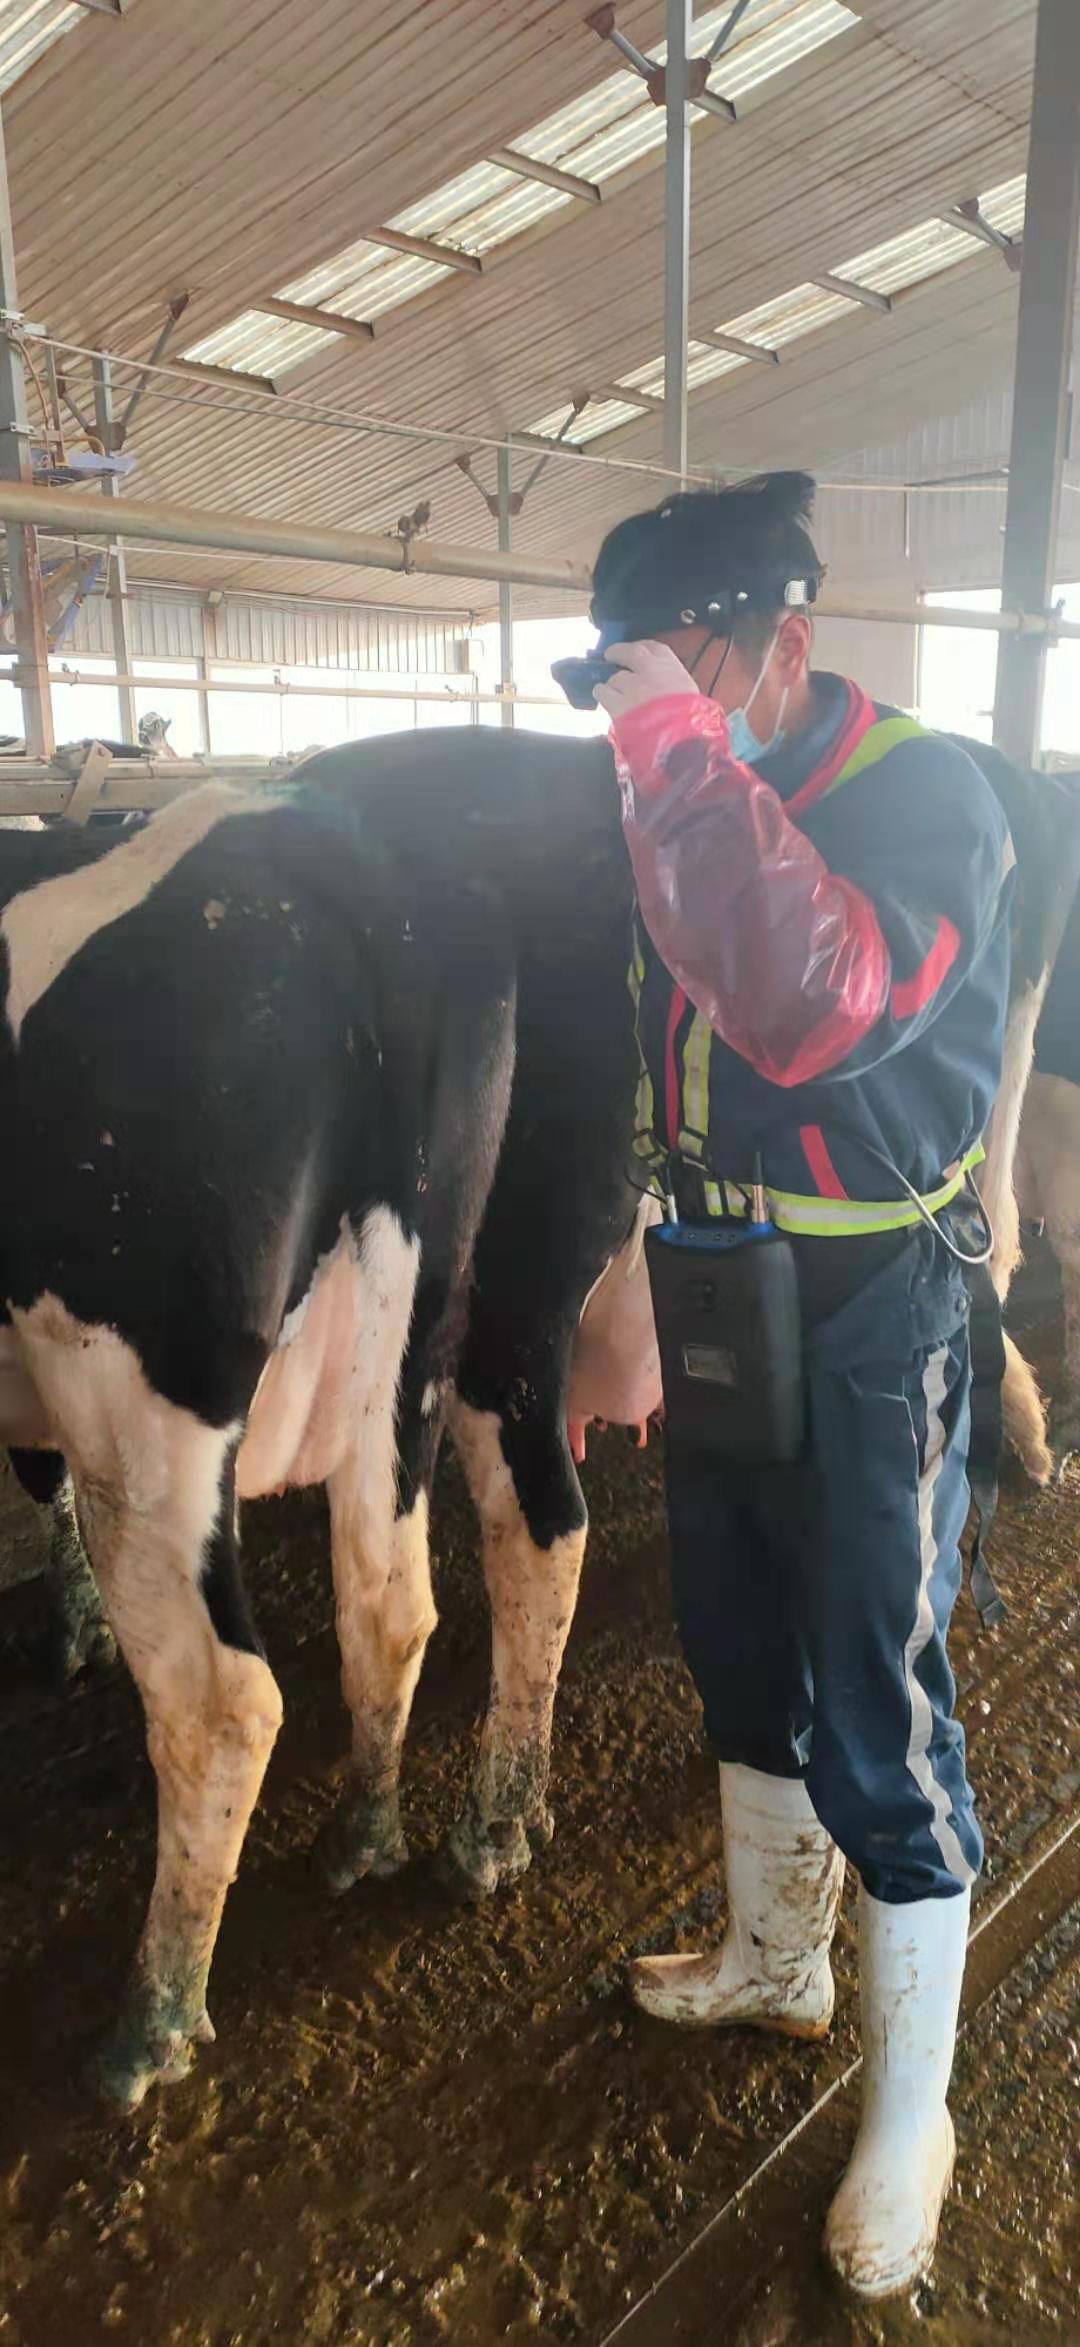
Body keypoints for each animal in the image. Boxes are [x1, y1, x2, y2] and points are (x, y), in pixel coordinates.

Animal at [0, 727, 638, 2112]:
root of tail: (363, 882)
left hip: (143, 1385)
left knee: (224, 1696)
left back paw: (150, 2025)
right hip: (442, 1323)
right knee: (437, 1577)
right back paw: (429, 1826)